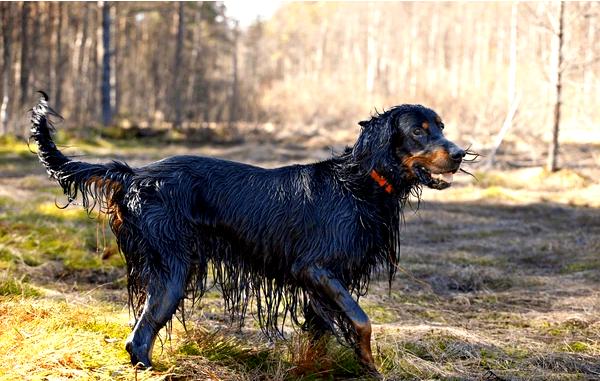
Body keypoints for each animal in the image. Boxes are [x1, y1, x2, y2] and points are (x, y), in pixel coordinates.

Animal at [30, 93, 464, 374]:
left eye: (442, 126)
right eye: (419, 131)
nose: (460, 153)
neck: (359, 184)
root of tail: (134, 174)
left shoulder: (323, 284)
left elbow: (321, 332)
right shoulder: (313, 268)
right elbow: (361, 321)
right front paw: (369, 363)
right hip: (173, 268)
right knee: (138, 338)